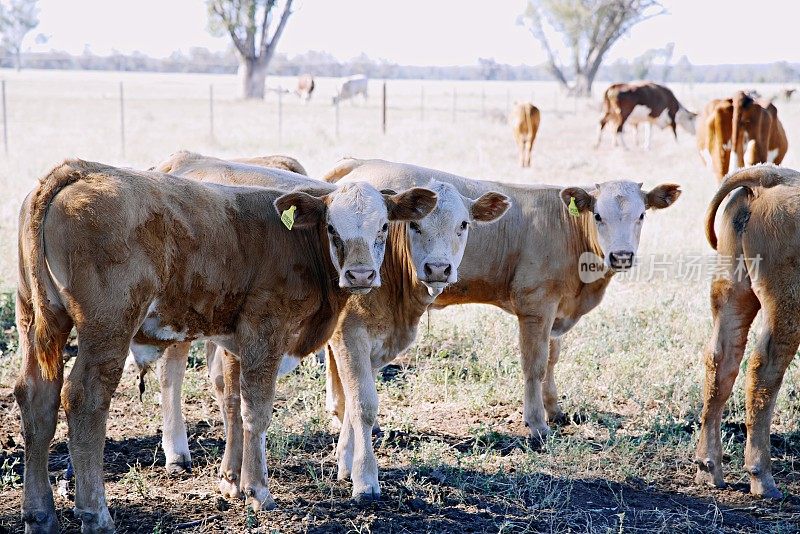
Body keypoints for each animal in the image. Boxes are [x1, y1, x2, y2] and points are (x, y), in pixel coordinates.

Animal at [14, 160, 438, 534]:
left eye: (383, 226)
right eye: (332, 227)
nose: (360, 275)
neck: (297, 243)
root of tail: (79, 170)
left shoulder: (236, 340)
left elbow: (233, 402)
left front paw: (232, 482)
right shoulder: (265, 332)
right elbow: (257, 411)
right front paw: (257, 490)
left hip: (36, 319)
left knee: (36, 398)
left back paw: (40, 515)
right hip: (108, 327)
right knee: (85, 399)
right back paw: (95, 514)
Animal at [324, 158, 680, 452]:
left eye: (642, 215)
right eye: (598, 215)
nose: (621, 255)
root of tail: (359, 164)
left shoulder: (555, 312)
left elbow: (553, 358)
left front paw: (555, 410)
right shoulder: (536, 306)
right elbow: (535, 365)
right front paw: (537, 424)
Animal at [692, 164, 800, 502]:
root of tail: (770, 178)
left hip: (732, 289)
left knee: (721, 360)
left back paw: (708, 467)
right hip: (786, 307)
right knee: (763, 370)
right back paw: (761, 476)